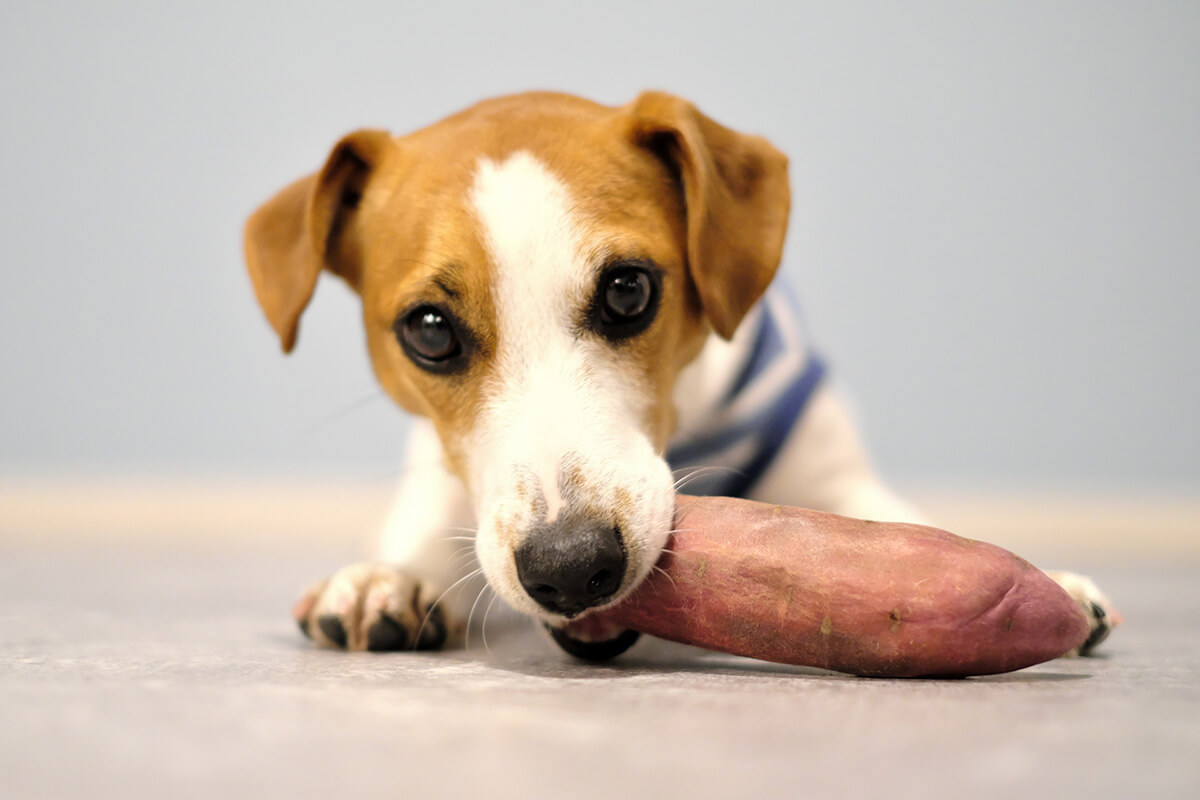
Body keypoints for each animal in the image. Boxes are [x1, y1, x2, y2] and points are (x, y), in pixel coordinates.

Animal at [243, 90, 1113, 662]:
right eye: (428, 331)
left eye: (628, 290)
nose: (570, 568)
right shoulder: (442, 470)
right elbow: (422, 532)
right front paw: (382, 579)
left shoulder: (832, 475)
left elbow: (906, 529)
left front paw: (1050, 587)